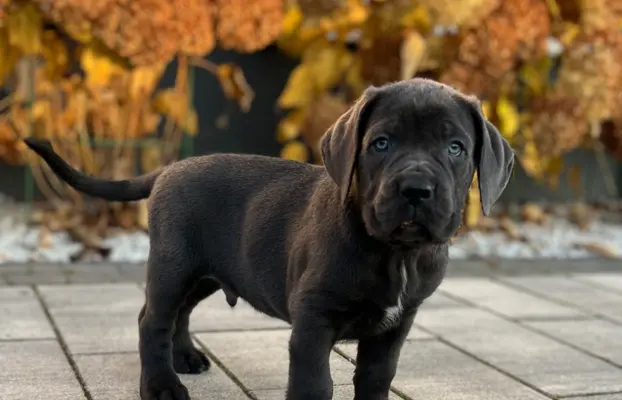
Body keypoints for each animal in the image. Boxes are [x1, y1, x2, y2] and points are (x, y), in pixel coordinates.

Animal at [24, 78, 516, 400]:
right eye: (381, 143)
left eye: (455, 147)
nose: (415, 189)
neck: (394, 252)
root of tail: (168, 169)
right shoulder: (313, 321)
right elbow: (315, 385)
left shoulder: (396, 325)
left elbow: (376, 380)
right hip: (173, 264)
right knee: (153, 319)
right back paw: (162, 385)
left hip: (206, 272)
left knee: (179, 313)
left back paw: (185, 358)